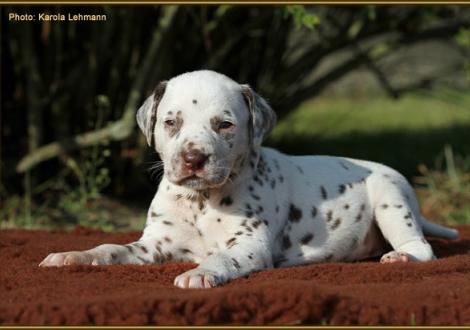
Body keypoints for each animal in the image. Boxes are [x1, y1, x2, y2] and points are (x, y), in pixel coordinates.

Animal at [40, 70, 458, 288]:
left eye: (224, 125)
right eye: (171, 122)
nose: (193, 158)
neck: (200, 201)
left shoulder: (249, 245)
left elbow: (222, 257)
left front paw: (201, 273)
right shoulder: (154, 244)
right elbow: (111, 248)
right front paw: (76, 256)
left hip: (391, 201)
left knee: (423, 248)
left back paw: (401, 256)